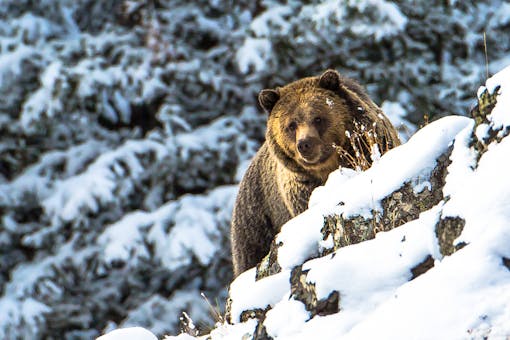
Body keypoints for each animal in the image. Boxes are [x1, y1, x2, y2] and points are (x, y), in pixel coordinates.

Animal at [229, 69, 400, 276]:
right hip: (256, 220)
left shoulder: (371, 146)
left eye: (318, 118)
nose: (305, 144)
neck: (328, 167)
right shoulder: (301, 188)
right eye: (291, 125)